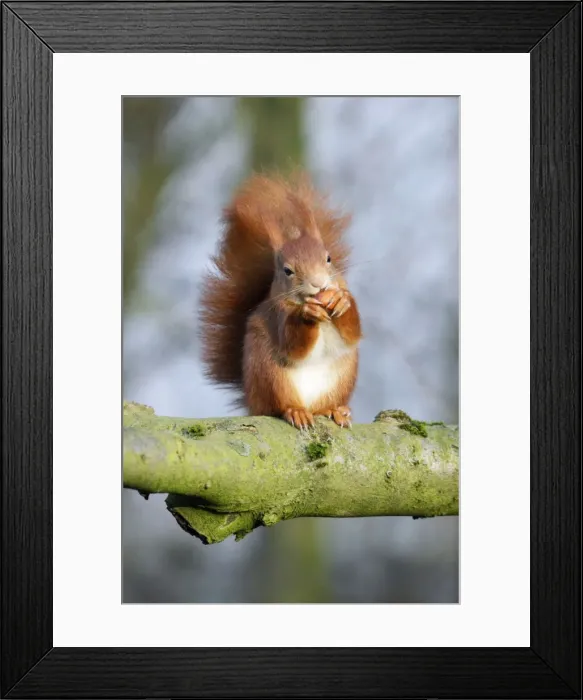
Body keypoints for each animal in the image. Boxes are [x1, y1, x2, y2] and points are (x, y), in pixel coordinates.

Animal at [199, 173, 362, 430]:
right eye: (287, 271)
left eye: (328, 258)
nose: (319, 283)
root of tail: (252, 402)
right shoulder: (277, 316)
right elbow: (293, 345)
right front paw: (308, 314)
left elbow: (353, 332)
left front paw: (341, 301)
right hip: (270, 375)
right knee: (278, 406)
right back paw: (295, 411)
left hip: (343, 376)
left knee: (324, 405)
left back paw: (334, 410)